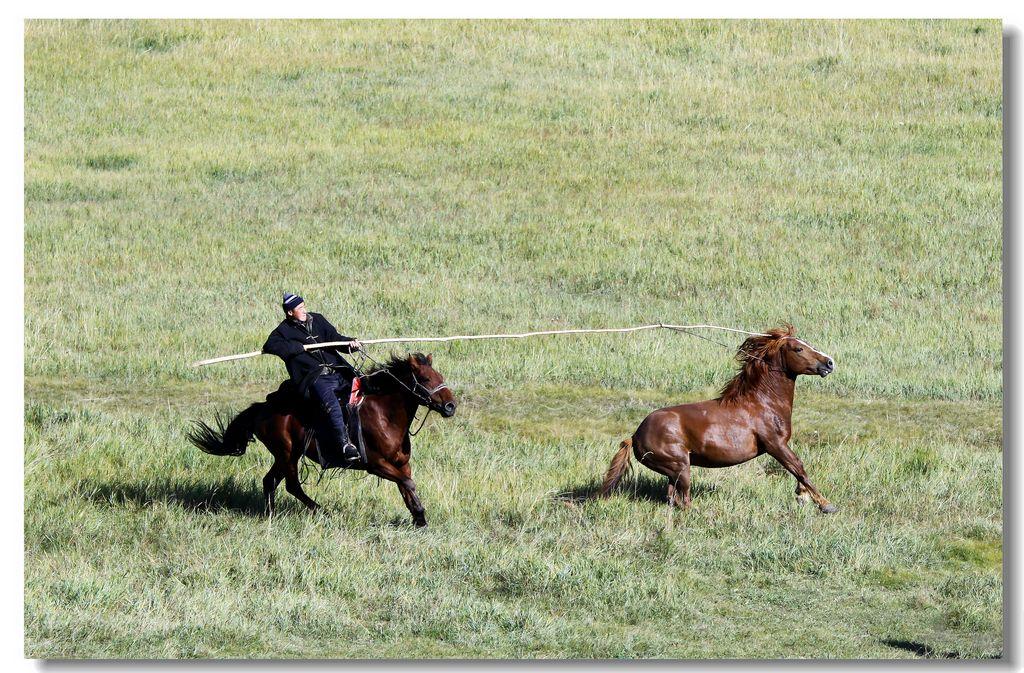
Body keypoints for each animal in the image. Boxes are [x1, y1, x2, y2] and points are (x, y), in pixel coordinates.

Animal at [185, 352, 456, 524]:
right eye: (425, 379)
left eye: (440, 376)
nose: (450, 406)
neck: (385, 414)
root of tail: (262, 408)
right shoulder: (376, 465)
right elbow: (408, 483)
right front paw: (419, 514)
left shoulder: (401, 463)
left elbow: (405, 485)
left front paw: (419, 517)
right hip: (287, 454)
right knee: (292, 485)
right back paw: (321, 511)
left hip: (286, 455)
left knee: (270, 481)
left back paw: (271, 514)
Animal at [598, 327, 839, 514]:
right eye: (798, 349)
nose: (829, 363)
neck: (763, 403)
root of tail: (634, 436)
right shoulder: (775, 445)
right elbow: (799, 468)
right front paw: (825, 504)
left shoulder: (779, 446)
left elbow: (797, 470)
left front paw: (802, 496)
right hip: (680, 466)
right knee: (683, 499)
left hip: (673, 470)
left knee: (672, 497)